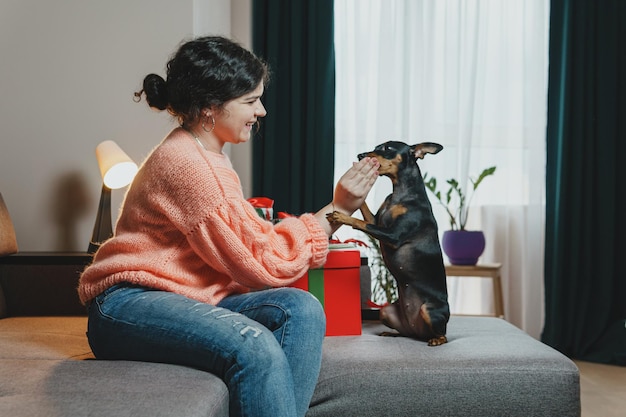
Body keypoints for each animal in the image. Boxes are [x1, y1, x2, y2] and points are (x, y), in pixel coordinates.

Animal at [326, 141, 448, 344]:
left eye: (387, 148)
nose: (360, 155)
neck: (401, 194)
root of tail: (418, 330)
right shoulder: (377, 222)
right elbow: (364, 211)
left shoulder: (393, 236)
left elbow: (361, 223)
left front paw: (340, 216)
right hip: (386, 311)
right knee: (408, 332)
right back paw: (393, 333)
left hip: (428, 311)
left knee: (442, 334)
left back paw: (437, 340)